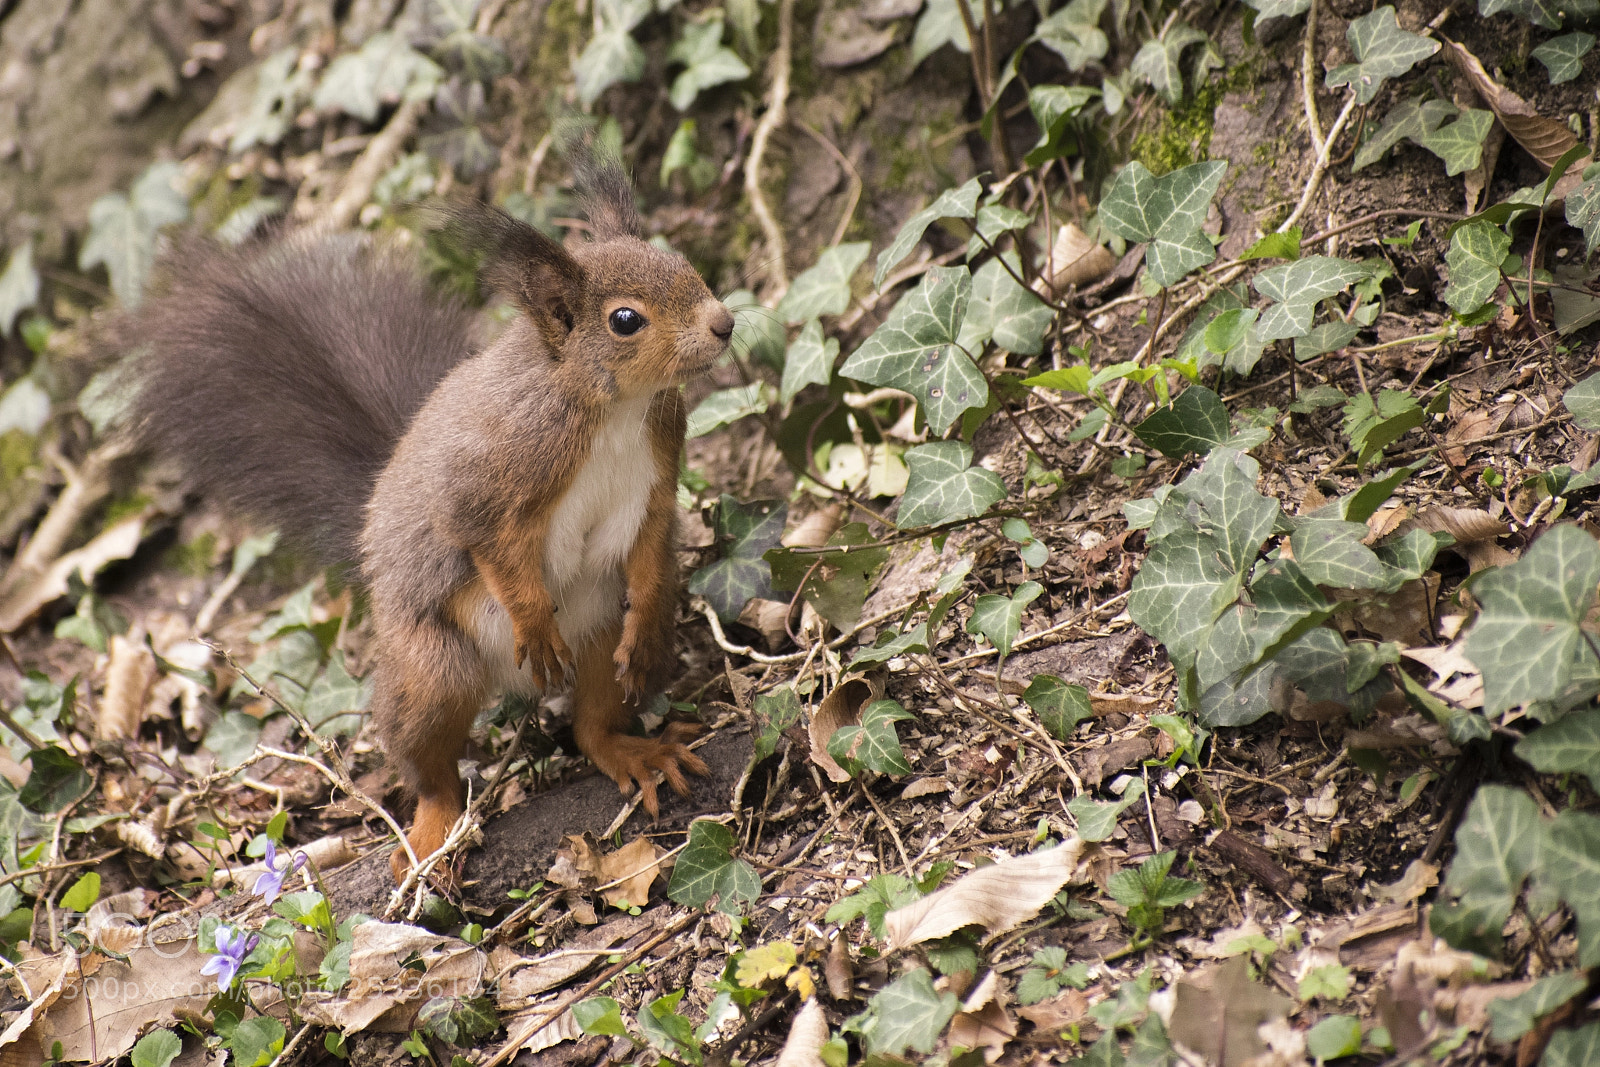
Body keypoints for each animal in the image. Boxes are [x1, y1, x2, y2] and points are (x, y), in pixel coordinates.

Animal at [119, 158, 731, 879]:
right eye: (626, 320)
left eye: (683, 262)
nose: (724, 322)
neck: (613, 406)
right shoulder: (494, 471)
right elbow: (479, 533)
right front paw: (533, 622)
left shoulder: (659, 467)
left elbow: (650, 539)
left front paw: (646, 607)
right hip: (432, 665)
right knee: (432, 762)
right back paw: (433, 826)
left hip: (599, 626)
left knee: (592, 725)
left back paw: (634, 746)